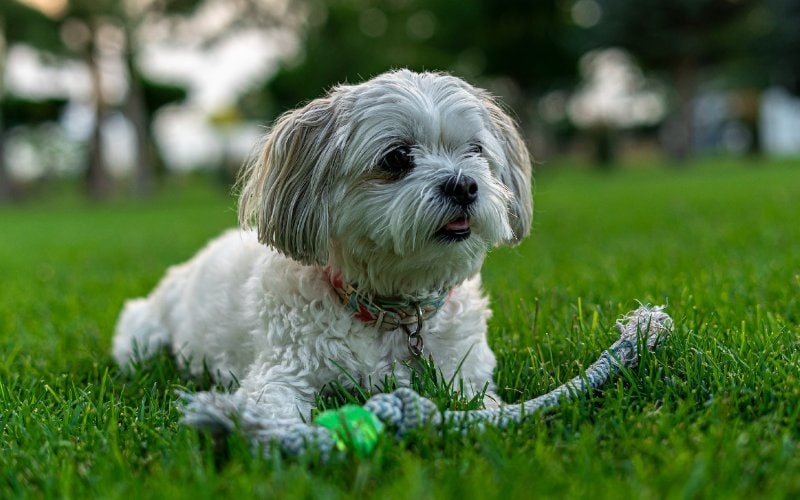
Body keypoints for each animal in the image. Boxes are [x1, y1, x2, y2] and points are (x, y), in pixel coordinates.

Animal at [111, 69, 532, 430]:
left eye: (476, 150)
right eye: (397, 157)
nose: (463, 185)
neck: (392, 312)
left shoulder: (465, 373)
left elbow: (483, 402)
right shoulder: (280, 373)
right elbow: (272, 409)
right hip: (141, 335)